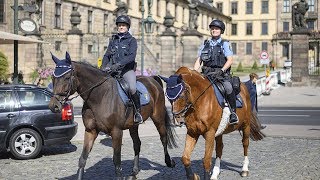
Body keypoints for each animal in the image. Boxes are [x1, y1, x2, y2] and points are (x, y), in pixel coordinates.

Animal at [48, 52, 178, 179]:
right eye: (53, 77)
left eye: (67, 77)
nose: (54, 106)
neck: (100, 97)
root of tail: (152, 79)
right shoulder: (90, 131)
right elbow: (82, 159)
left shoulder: (116, 132)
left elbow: (117, 162)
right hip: (133, 125)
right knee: (137, 143)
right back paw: (134, 171)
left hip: (158, 118)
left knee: (163, 137)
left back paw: (169, 162)